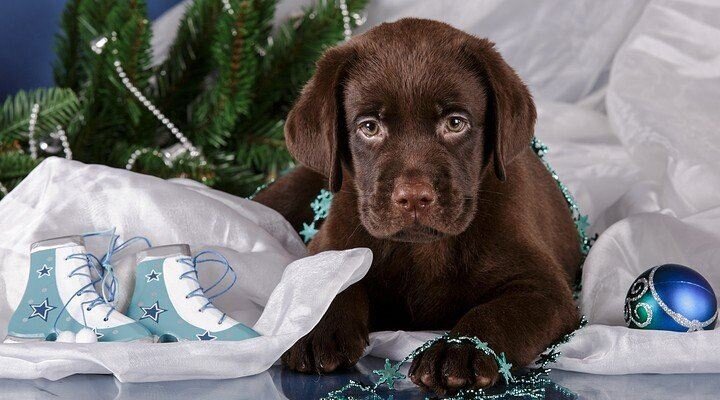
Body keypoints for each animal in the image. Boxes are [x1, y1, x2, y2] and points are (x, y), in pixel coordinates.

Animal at [254, 18, 582, 394]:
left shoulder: (544, 288)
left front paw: (460, 350)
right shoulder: (331, 239)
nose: (413, 196)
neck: (421, 251)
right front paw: (318, 328)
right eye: (369, 127)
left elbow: (497, 313)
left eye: (455, 122)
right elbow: (333, 275)